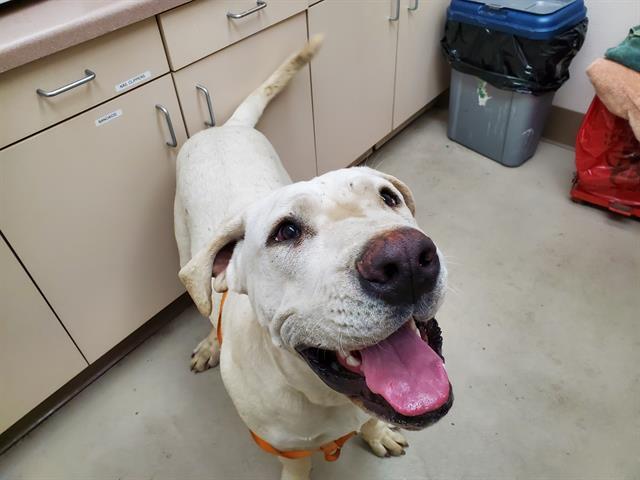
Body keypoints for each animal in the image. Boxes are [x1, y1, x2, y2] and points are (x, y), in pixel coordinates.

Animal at [172, 38, 452, 480]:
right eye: (285, 232)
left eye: (388, 197)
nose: (406, 259)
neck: (323, 395)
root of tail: (224, 127)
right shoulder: (287, 448)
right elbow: (298, 465)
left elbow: (371, 419)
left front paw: (377, 433)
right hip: (186, 253)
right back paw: (208, 343)